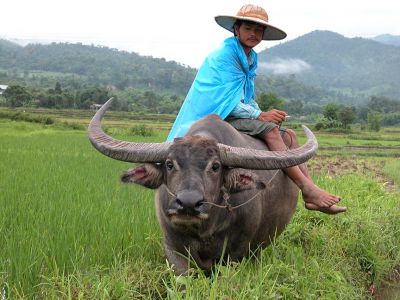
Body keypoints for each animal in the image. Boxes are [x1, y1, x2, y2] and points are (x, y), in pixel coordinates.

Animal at [89, 98, 318, 274]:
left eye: (215, 166)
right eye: (169, 164)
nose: (188, 203)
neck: (205, 231)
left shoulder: (237, 253)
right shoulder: (172, 248)